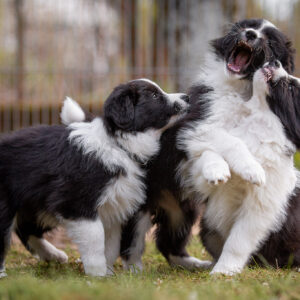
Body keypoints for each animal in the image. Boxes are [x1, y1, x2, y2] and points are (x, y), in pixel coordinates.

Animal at [0, 78, 189, 278]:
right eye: (154, 95)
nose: (187, 97)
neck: (118, 145)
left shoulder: (112, 208)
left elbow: (111, 245)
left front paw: (108, 273)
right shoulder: (76, 203)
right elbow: (96, 239)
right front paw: (97, 274)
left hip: (37, 203)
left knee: (26, 227)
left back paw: (53, 255)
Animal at [118, 18, 296, 272]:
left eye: (270, 42)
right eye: (247, 26)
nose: (250, 34)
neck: (243, 93)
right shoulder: (195, 124)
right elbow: (227, 141)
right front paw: (246, 170)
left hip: (181, 210)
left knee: (168, 242)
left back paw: (193, 264)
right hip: (140, 199)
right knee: (132, 238)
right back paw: (134, 269)